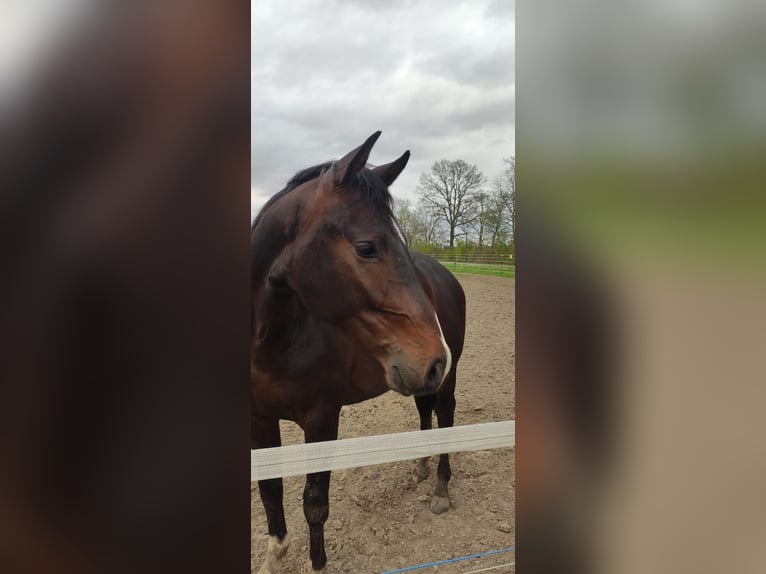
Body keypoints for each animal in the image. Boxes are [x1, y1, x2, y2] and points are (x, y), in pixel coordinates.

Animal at [252, 133, 468, 572]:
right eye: (366, 247)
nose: (435, 355)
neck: (277, 341)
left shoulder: (321, 420)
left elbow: (315, 503)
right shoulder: (259, 419)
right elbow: (269, 490)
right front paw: (274, 557)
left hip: (445, 380)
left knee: (445, 417)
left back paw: (440, 488)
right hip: (423, 380)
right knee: (425, 412)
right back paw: (420, 467)